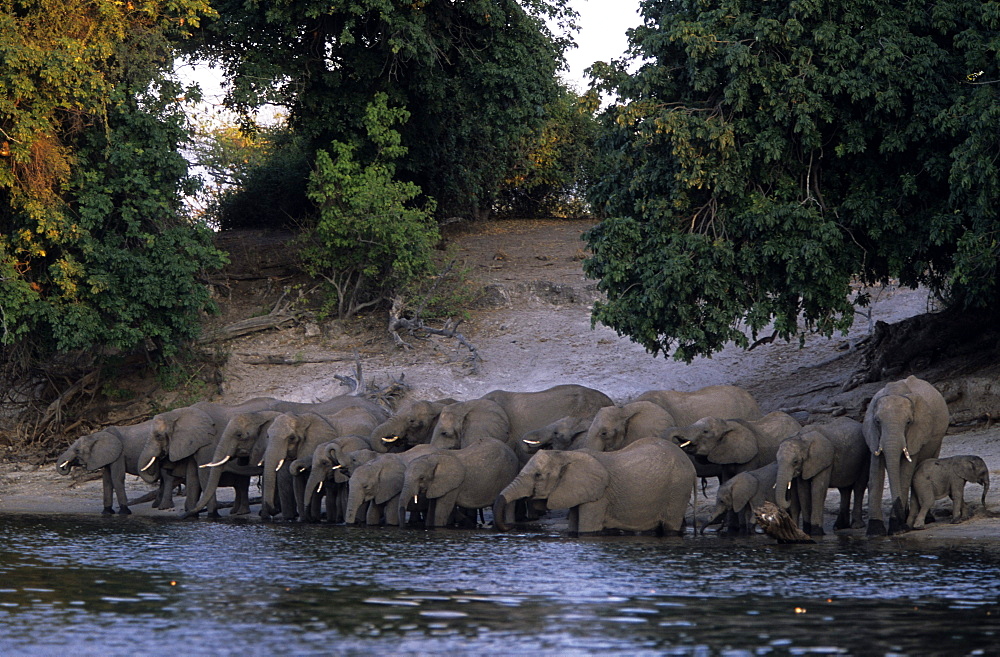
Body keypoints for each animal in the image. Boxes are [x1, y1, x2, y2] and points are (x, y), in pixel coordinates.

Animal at [492, 436, 696, 532]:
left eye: (538, 475)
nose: (512, 526)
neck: (566, 455)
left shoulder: (599, 496)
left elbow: (587, 529)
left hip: (678, 488)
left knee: (671, 525)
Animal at [864, 374, 948, 532]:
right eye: (877, 422)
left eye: (908, 422)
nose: (903, 523)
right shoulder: (873, 434)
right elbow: (875, 474)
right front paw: (875, 532)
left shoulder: (917, 433)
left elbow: (905, 473)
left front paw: (897, 528)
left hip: (938, 438)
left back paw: (927, 519)